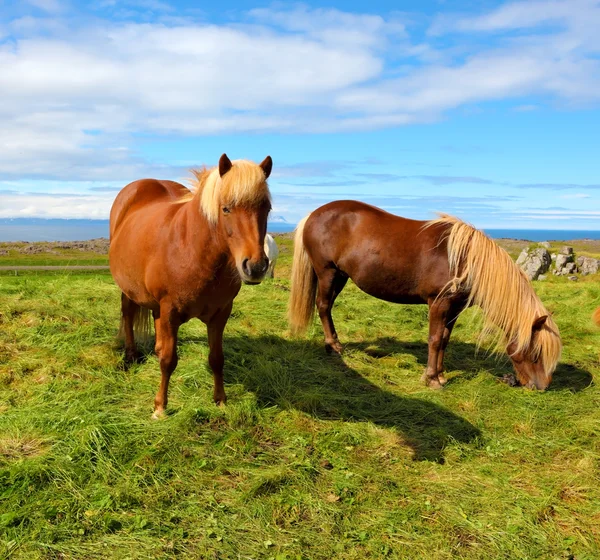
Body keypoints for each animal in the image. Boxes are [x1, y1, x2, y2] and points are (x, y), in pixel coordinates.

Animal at [109, 153, 274, 416]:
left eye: (266, 208)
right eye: (226, 208)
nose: (256, 267)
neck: (193, 249)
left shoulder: (221, 314)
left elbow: (217, 358)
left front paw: (220, 400)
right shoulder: (170, 311)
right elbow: (169, 360)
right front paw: (160, 407)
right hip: (129, 289)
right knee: (128, 314)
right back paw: (131, 355)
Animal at [290, 200, 564, 390]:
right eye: (536, 353)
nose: (541, 387)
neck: (466, 260)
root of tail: (313, 214)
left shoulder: (454, 308)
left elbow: (444, 340)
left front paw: (441, 375)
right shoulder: (438, 304)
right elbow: (433, 339)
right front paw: (431, 379)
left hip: (340, 276)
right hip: (327, 273)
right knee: (324, 306)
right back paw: (333, 346)